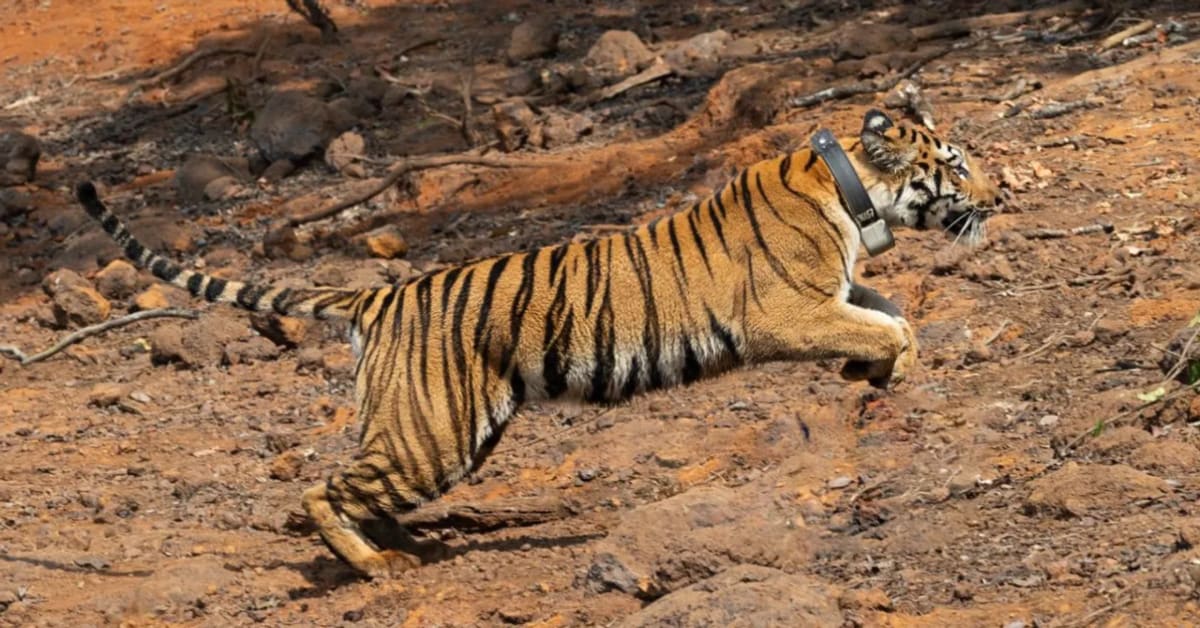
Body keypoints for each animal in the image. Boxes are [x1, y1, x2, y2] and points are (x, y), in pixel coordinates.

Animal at [74, 108, 1002, 578]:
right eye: (956, 164)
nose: (1000, 194)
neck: (852, 191)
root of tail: (377, 293)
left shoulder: (835, 292)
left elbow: (892, 311)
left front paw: (868, 367)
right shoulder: (785, 312)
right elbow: (892, 321)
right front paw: (878, 368)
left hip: (438, 430)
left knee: (360, 482)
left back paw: (405, 544)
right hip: (435, 433)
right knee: (322, 489)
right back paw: (376, 568)